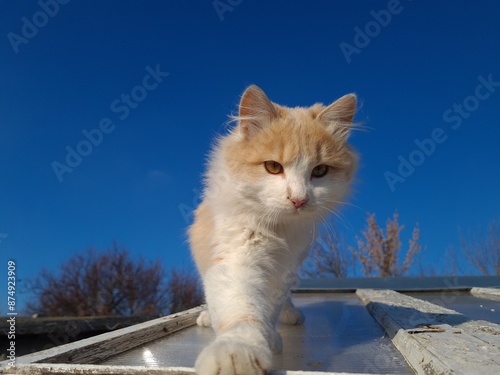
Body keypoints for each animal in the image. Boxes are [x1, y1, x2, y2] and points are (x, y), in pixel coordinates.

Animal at [189, 86, 358, 375]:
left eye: (320, 171)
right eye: (273, 167)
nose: (299, 200)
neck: (278, 229)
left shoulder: (286, 268)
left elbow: (270, 307)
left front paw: (269, 336)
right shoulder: (237, 258)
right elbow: (243, 312)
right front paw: (237, 353)